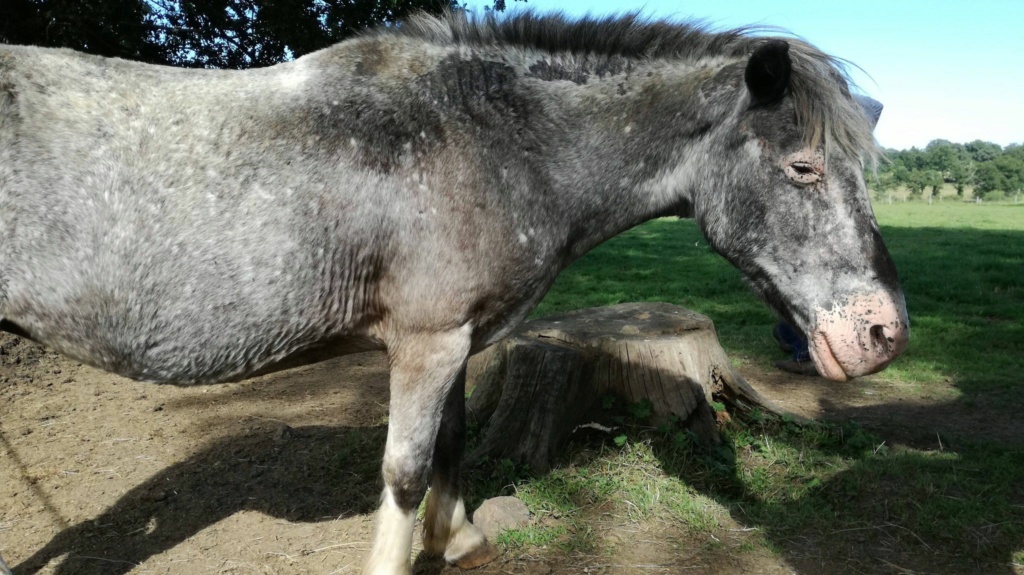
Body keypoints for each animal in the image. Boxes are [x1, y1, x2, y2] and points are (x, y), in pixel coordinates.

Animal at [2, 10, 913, 572]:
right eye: (803, 167)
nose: (883, 333)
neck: (490, 139)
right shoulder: (427, 340)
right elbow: (405, 467)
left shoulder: (457, 341)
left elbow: (453, 440)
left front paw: (459, 537)